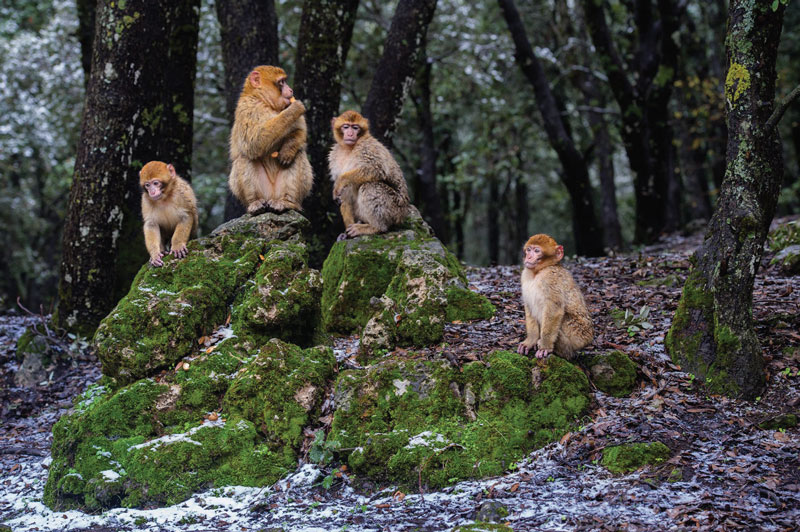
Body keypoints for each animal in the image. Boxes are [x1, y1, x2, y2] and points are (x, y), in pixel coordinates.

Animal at [328, 110, 410, 239]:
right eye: (346, 127)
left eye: (355, 127)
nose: (350, 134)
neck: (348, 148)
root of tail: (403, 214)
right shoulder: (334, 156)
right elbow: (345, 193)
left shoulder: (366, 147)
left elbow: (376, 169)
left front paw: (340, 182)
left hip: (395, 209)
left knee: (370, 186)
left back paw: (376, 227)